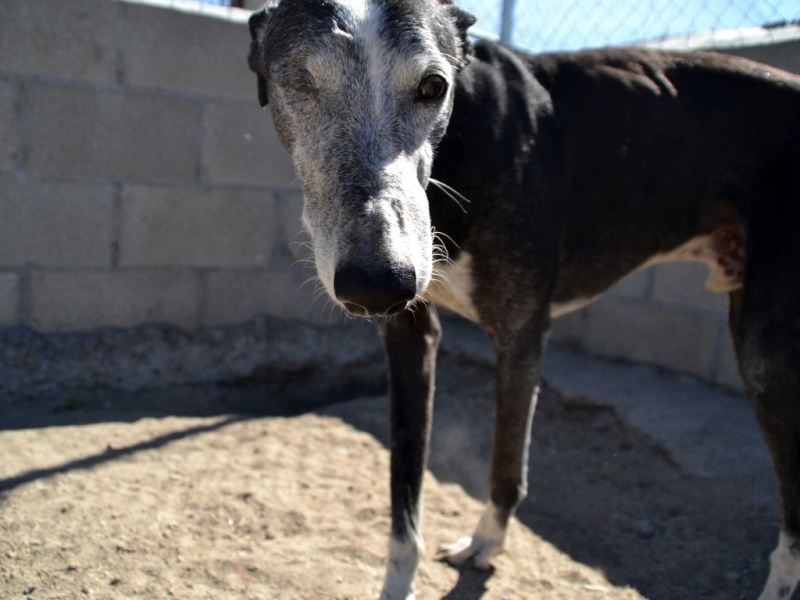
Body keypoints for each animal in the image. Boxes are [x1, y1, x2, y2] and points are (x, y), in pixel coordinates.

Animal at [247, 2, 800, 596]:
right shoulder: (408, 335)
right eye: (300, 81)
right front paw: (399, 581)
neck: (462, 146)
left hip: (767, 355)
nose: (379, 282)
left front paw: (487, 543)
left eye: (433, 85)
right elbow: (404, 489)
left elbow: (507, 468)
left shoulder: (524, 334)